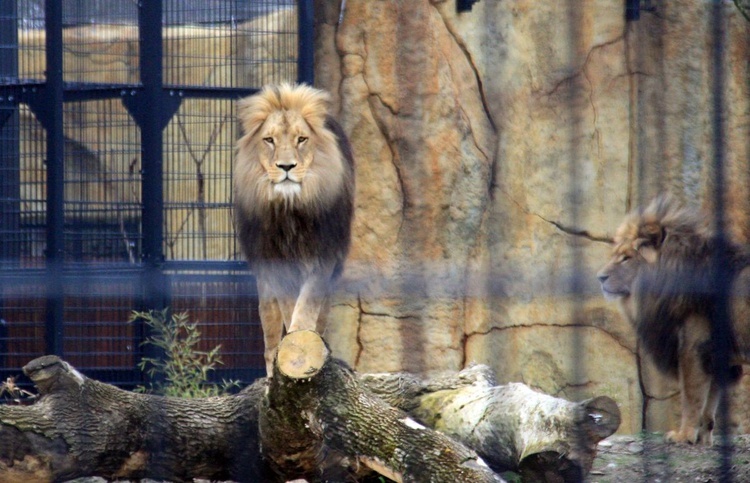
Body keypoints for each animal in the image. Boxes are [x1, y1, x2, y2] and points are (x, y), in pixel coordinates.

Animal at [235, 84, 356, 378]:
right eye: (269, 140)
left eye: (302, 139)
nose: (286, 167)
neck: (289, 209)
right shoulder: (276, 264)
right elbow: (289, 308)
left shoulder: (324, 256)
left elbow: (307, 306)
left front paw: (302, 340)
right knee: (268, 338)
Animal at [600, 196, 750, 446]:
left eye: (626, 258)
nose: (599, 277)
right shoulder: (716, 357)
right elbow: (709, 406)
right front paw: (703, 441)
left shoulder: (693, 347)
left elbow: (691, 397)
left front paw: (682, 435)